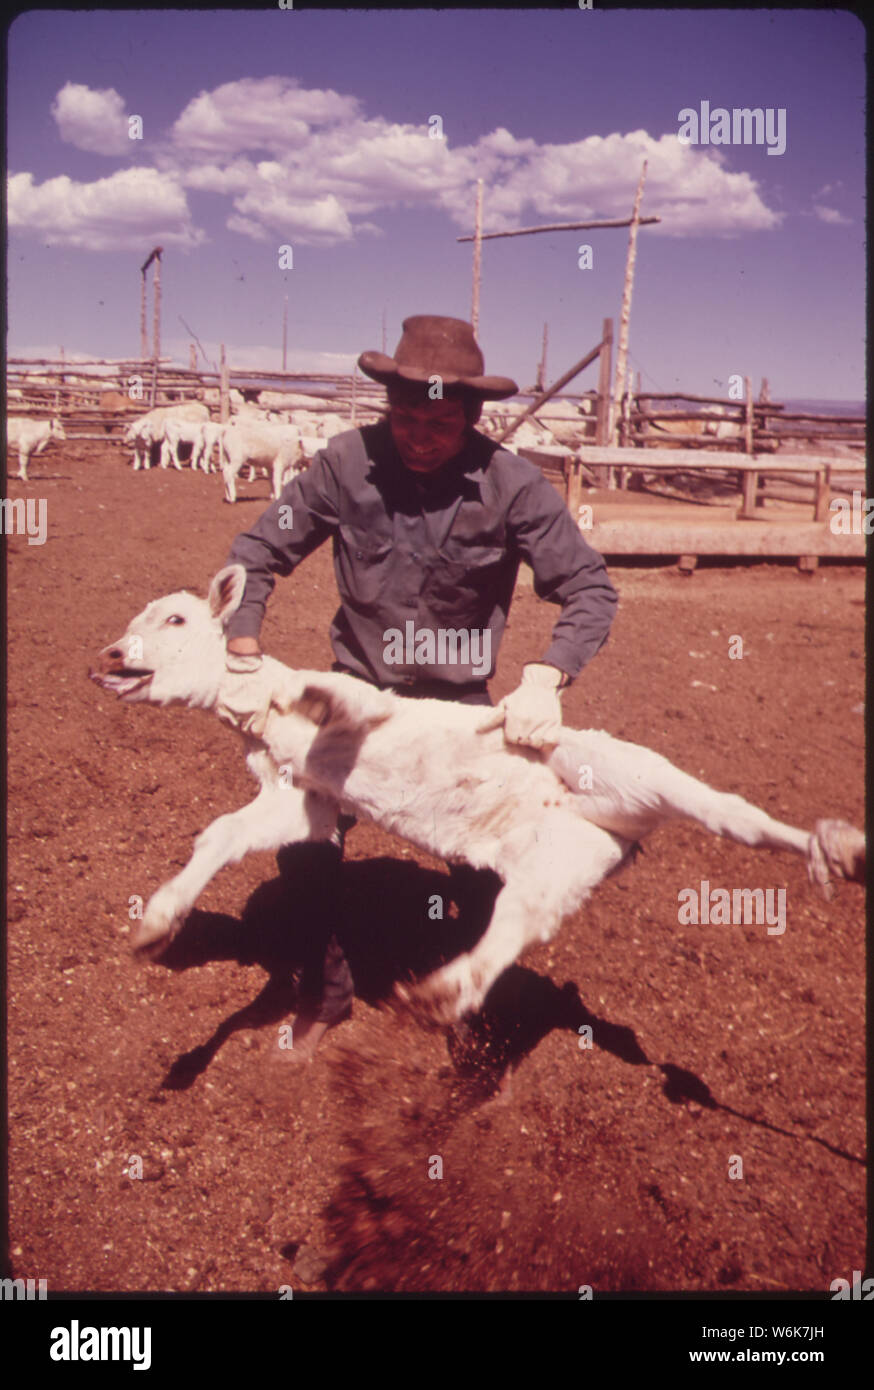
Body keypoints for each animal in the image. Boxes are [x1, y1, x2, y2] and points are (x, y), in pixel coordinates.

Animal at [88, 569, 867, 1028]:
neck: (270, 727)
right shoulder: (301, 799)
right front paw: (156, 924)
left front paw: (299, 688)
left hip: (628, 771)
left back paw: (835, 847)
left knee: (734, 816)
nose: (111, 657)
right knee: (518, 924)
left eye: (177, 620)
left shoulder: (366, 710)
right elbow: (222, 832)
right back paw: (444, 994)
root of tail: (607, 833)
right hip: (558, 864)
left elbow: (334, 692)